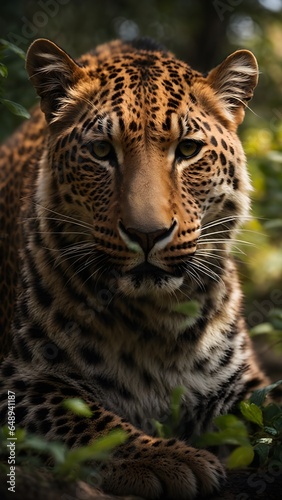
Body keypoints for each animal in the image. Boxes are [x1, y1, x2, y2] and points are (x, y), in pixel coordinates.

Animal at [0, 37, 266, 498]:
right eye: (101, 151)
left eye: (188, 149)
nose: (147, 234)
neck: (157, 323)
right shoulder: (18, 381)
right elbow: (85, 419)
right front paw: (164, 458)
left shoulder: (246, 386)